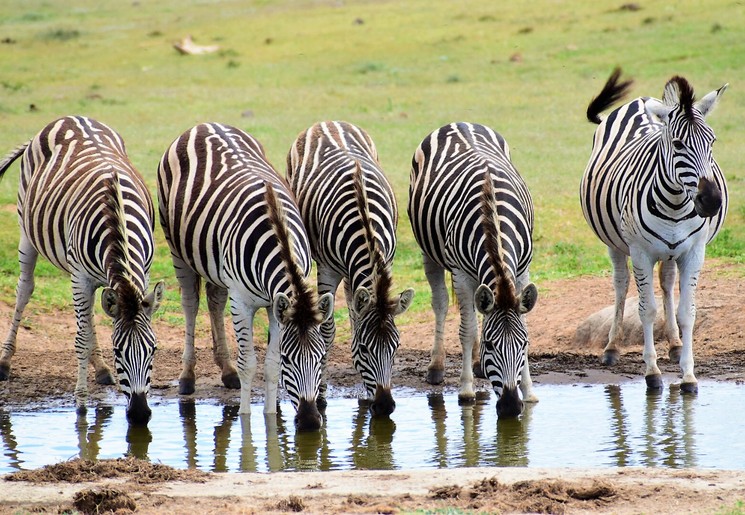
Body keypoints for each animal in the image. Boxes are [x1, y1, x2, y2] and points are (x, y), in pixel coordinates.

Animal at [0, 116, 165, 425]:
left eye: (154, 349)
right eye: (118, 351)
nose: (139, 415)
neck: (116, 216)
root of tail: (69, 117)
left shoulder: (141, 274)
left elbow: (90, 327)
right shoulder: (80, 278)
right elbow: (81, 339)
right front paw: (80, 403)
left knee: (90, 315)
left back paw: (100, 370)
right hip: (27, 231)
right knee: (24, 290)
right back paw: (4, 362)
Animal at [157, 122, 334, 431]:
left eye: (321, 358)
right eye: (290, 359)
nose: (311, 421)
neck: (277, 235)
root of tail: (204, 124)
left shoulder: (277, 305)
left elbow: (270, 364)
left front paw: (271, 418)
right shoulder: (241, 302)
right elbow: (249, 362)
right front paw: (245, 419)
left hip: (214, 263)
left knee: (214, 301)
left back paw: (227, 373)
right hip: (177, 249)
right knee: (191, 304)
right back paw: (187, 377)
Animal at [286, 121, 414, 416]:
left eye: (396, 346)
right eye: (365, 350)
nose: (385, 406)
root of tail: (328, 122)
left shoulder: (386, 262)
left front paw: (367, 394)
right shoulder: (327, 269)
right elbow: (326, 332)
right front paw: (320, 395)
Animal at [408, 122, 538, 418]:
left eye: (524, 344)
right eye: (491, 345)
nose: (511, 407)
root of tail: (459, 122)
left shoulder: (522, 269)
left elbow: (522, 322)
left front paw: (529, 392)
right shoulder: (460, 272)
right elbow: (466, 330)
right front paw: (466, 390)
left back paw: (478, 364)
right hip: (429, 252)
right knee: (441, 303)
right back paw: (436, 367)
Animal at [581, 68, 728, 393]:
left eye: (712, 142)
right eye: (678, 144)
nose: (712, 201)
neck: (675, 205)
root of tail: (640, 101)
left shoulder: (694, 251)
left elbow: (688, 312)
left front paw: (688, 375)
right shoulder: (641, 252)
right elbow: (646, 309)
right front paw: (652, 372)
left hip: (672, 251)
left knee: (667, 283)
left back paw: (674, 344)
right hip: (615, 243)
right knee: (621, 284)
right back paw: (612, 347)